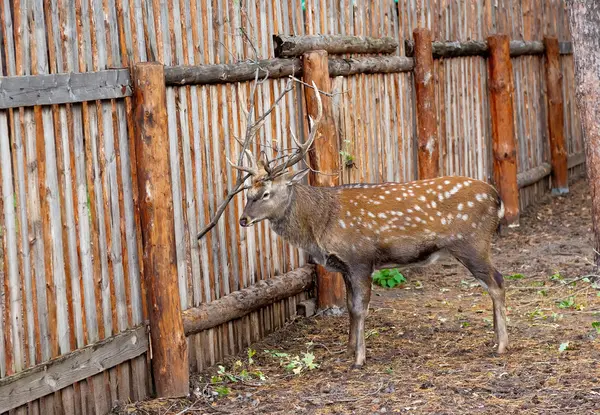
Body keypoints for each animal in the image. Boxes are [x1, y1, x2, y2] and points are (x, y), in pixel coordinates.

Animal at [227, 88, 508, 368]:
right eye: (247, 191)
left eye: (265, 193)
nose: (243, 219)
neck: (321, 223)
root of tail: (497, 198)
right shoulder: (343, 266)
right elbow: (350, 307)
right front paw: (348, 349)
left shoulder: (359, 258)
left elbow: (361, 307)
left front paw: (359, 358)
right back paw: (495, 337)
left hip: (471, 242)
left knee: (496, 281)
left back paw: (502, 345)